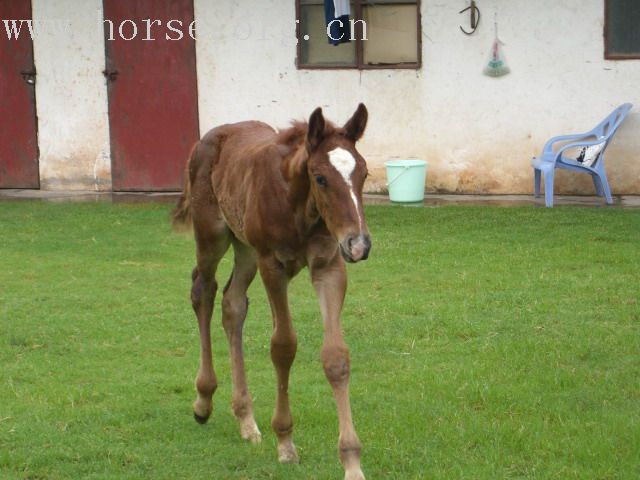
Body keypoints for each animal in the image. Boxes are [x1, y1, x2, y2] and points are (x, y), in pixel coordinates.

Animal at [172, 105, 372, 480]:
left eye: (364, 174)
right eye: (320, 178)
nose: (359, 244)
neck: (297, 205)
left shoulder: (329, 266)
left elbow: (336, 356)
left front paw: (352, 462)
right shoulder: (273, 266)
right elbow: (283, 346)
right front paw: (285, 442)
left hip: (246, 249)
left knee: (233, 304)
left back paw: (246, 420)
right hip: (213, 237)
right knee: (203, 291)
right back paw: (203, 401)